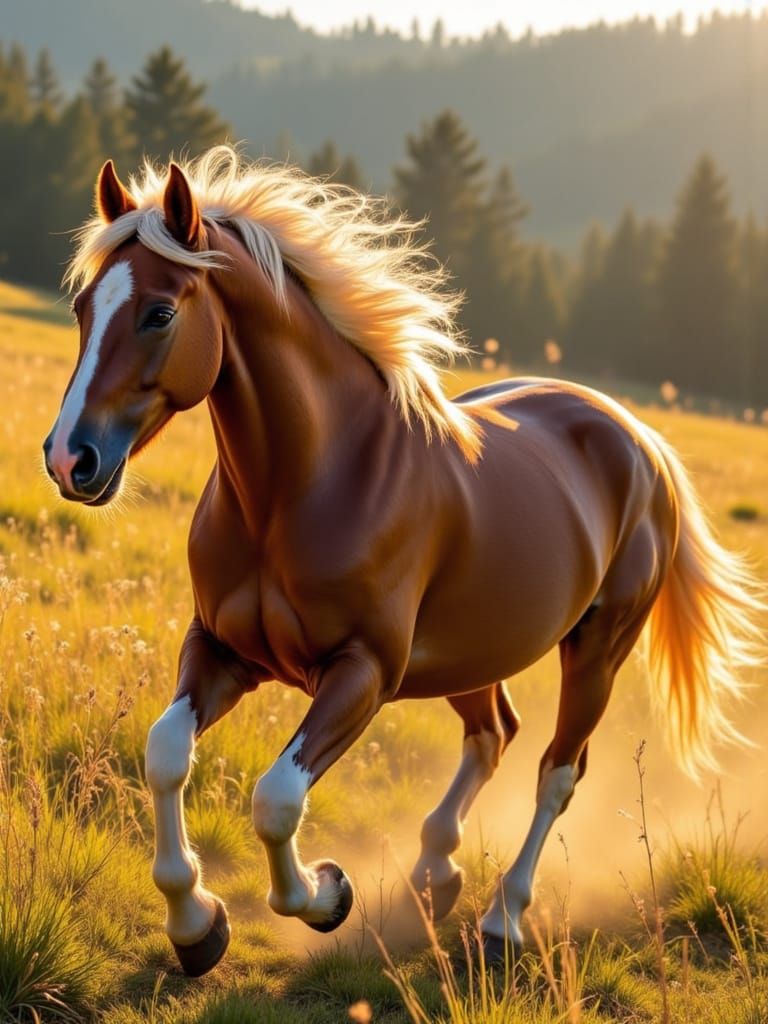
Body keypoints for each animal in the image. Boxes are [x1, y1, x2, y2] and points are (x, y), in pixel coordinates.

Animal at [44, 147, 764, 977]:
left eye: (159, 313)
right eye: (82, 307)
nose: (69, 459)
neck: (307, 485)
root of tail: (638, 438)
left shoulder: (362, 672)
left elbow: (276, 798)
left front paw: (326, 895)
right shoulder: (222, 649)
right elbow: (164, 753)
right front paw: (196, 925)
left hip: (596, 652)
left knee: (558, 771)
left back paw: (502, 919)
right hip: (472, 656)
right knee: (495, 735)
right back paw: (433, 875)